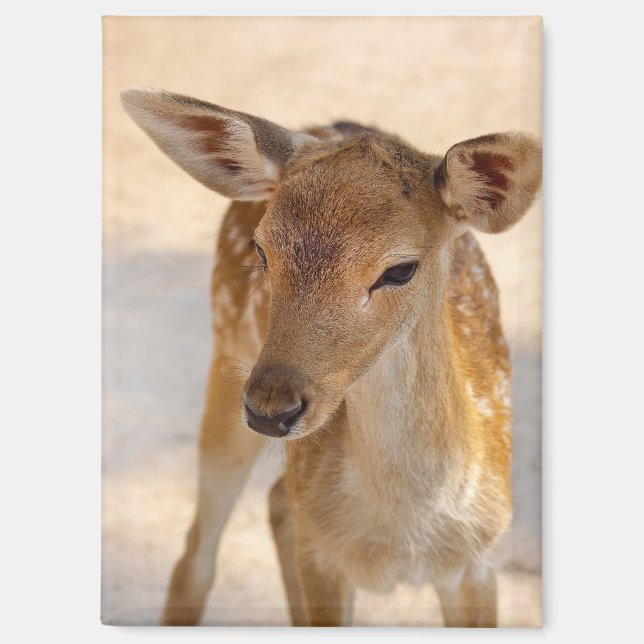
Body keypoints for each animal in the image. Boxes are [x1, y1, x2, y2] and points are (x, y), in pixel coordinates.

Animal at [121, 87, 541, 628]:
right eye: (261, 250)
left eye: (401, 269)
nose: (270, 408)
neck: (400, 537)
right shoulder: (323, 556)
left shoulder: (479, 558)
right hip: (226, 356)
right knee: (196, 554)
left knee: (276, 503)